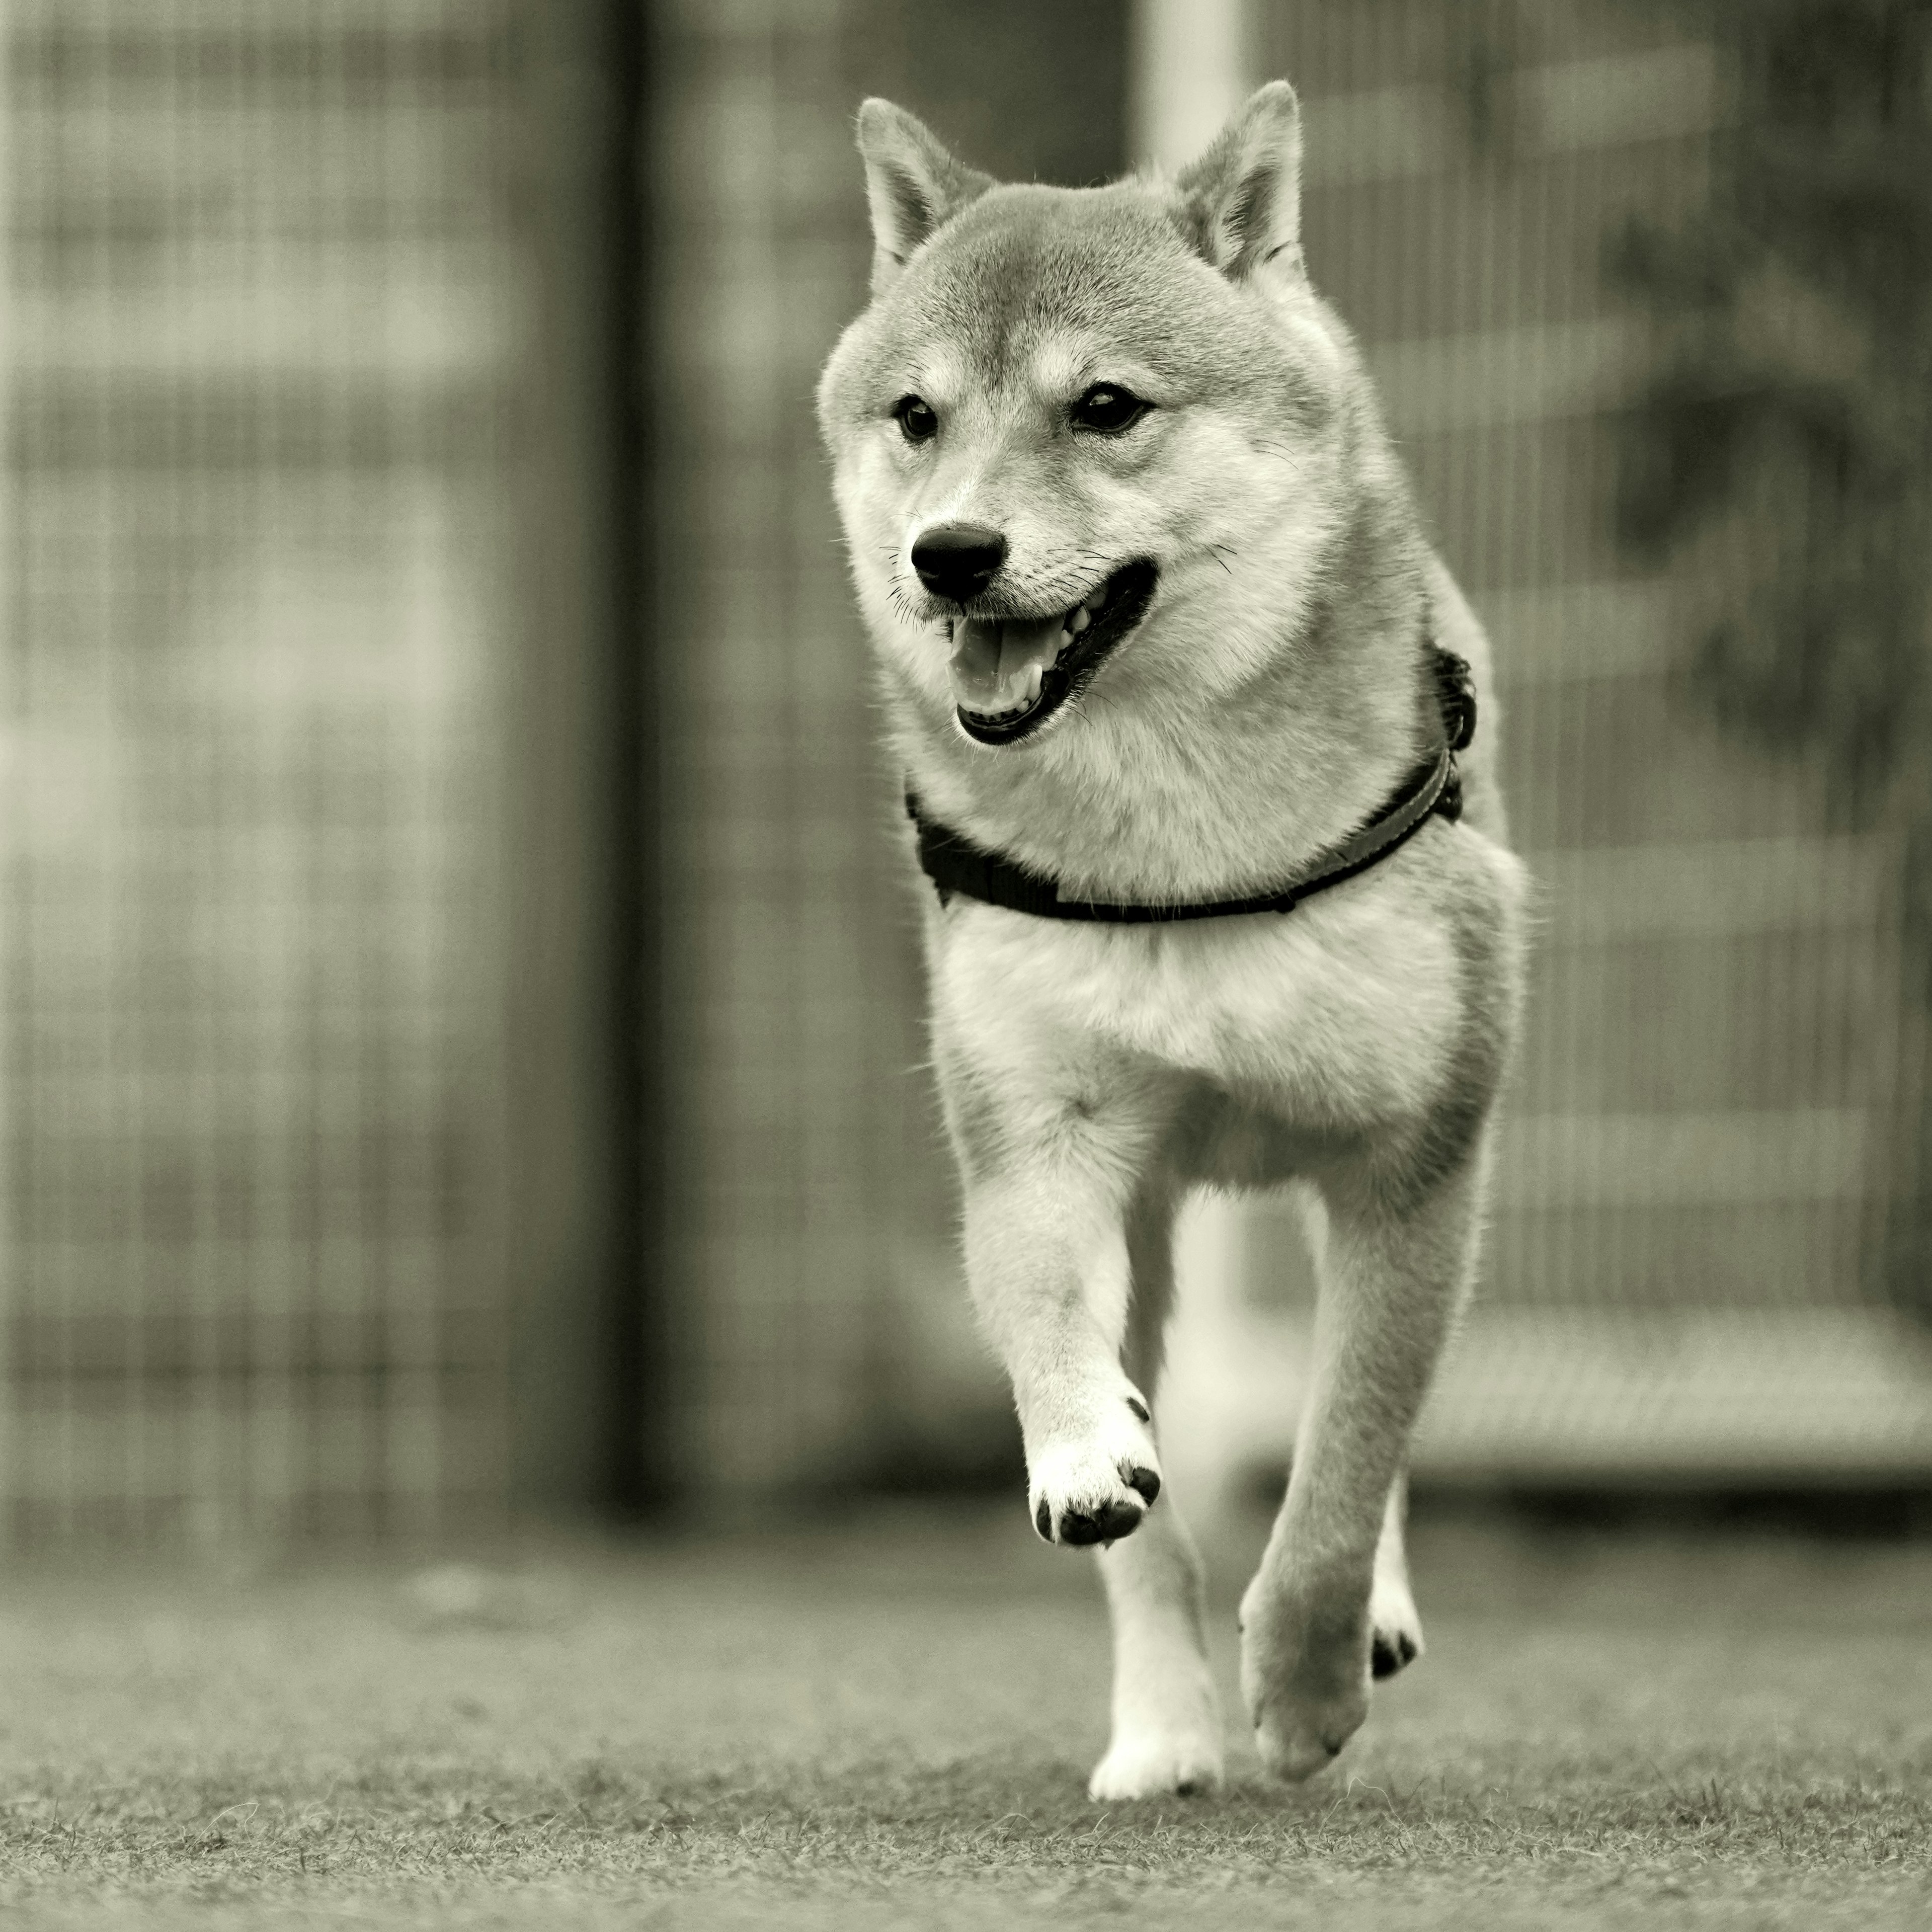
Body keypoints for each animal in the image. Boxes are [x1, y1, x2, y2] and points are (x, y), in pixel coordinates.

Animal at [811, 75, 1522, 1793]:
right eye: (917, 418)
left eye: (1106, 408)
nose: (950, 553)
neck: (1176, 850)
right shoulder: (1034, 1141)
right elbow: (1065, 1367)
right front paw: (1084, 1452)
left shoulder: (1413, 1164)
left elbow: (1340, 1474)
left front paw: (1311, 1685)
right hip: (1146, 1214)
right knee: (1156, 1538)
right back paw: (1160, 1731)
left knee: (1364, 1429)